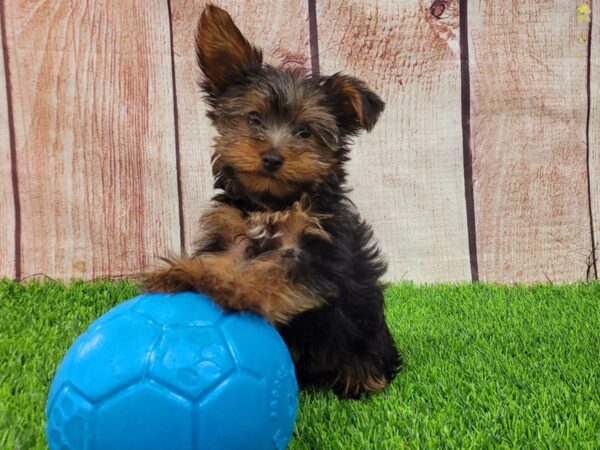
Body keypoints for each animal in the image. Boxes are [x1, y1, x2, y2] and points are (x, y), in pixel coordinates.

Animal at [143, 2, 400, 398]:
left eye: (305, 132)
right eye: (254, 119)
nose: (272, 158)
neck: (272, 205)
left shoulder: (318, 252)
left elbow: (278, 270)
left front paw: (238, 288)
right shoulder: (232, 231)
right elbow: (222, 258)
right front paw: (188, 272)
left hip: (365, 334)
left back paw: (361, 376)